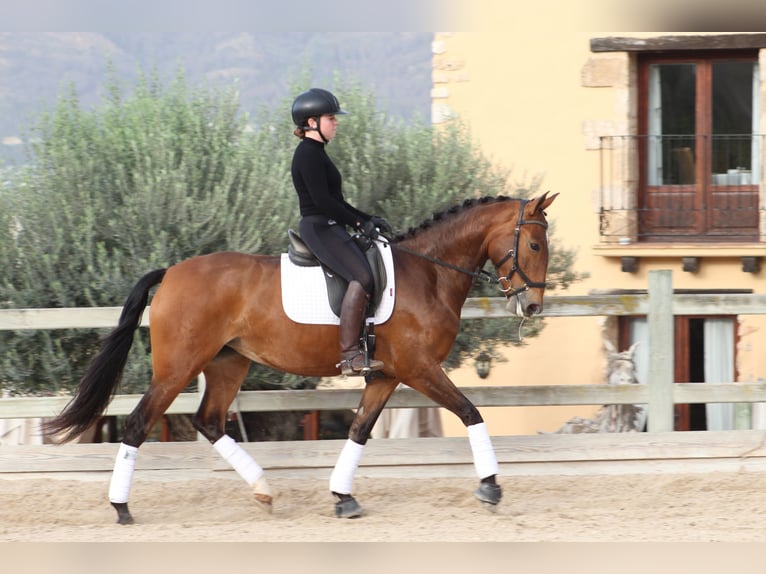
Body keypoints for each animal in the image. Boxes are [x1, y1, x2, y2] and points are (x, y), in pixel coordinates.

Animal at [43, 194, 560, 528]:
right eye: (535, 245)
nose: (532, 306)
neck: (428, 273)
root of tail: (171, 272)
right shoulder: (420, 369)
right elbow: (471, 413)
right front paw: (491, 487)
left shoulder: (387, 376)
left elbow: (359, 431)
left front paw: (343, 498)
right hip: (177, 369)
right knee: (137, 425)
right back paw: (121, 508)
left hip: (227, 363)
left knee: (210, 420)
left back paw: (263, 490)